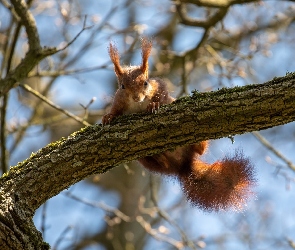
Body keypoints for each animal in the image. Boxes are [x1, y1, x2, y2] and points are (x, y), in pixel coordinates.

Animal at [102, 38, 254, 212]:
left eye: (146, 83)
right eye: (122, 86)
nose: (137, 97)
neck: (137, 105)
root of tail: (183, 166)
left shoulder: (159, 87)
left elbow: (162, 96)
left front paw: (153, 105)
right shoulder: (119, 101)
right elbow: (114, 111)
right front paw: (107, 117)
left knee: (200, 150)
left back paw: (197, 144)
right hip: (144, 159)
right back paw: (162, 159)